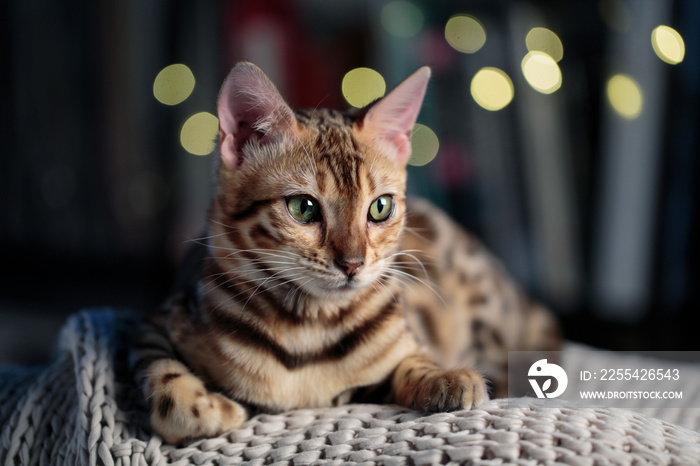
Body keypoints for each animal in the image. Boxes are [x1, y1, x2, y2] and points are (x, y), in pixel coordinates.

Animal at [130, 62, 556, 444]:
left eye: (380, 207)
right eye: (303, 207)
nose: (352, 264)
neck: (307, 330)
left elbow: (412, 359)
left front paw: (446, 377)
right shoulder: (150, 323)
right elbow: (163, 377)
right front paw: (211, 408)